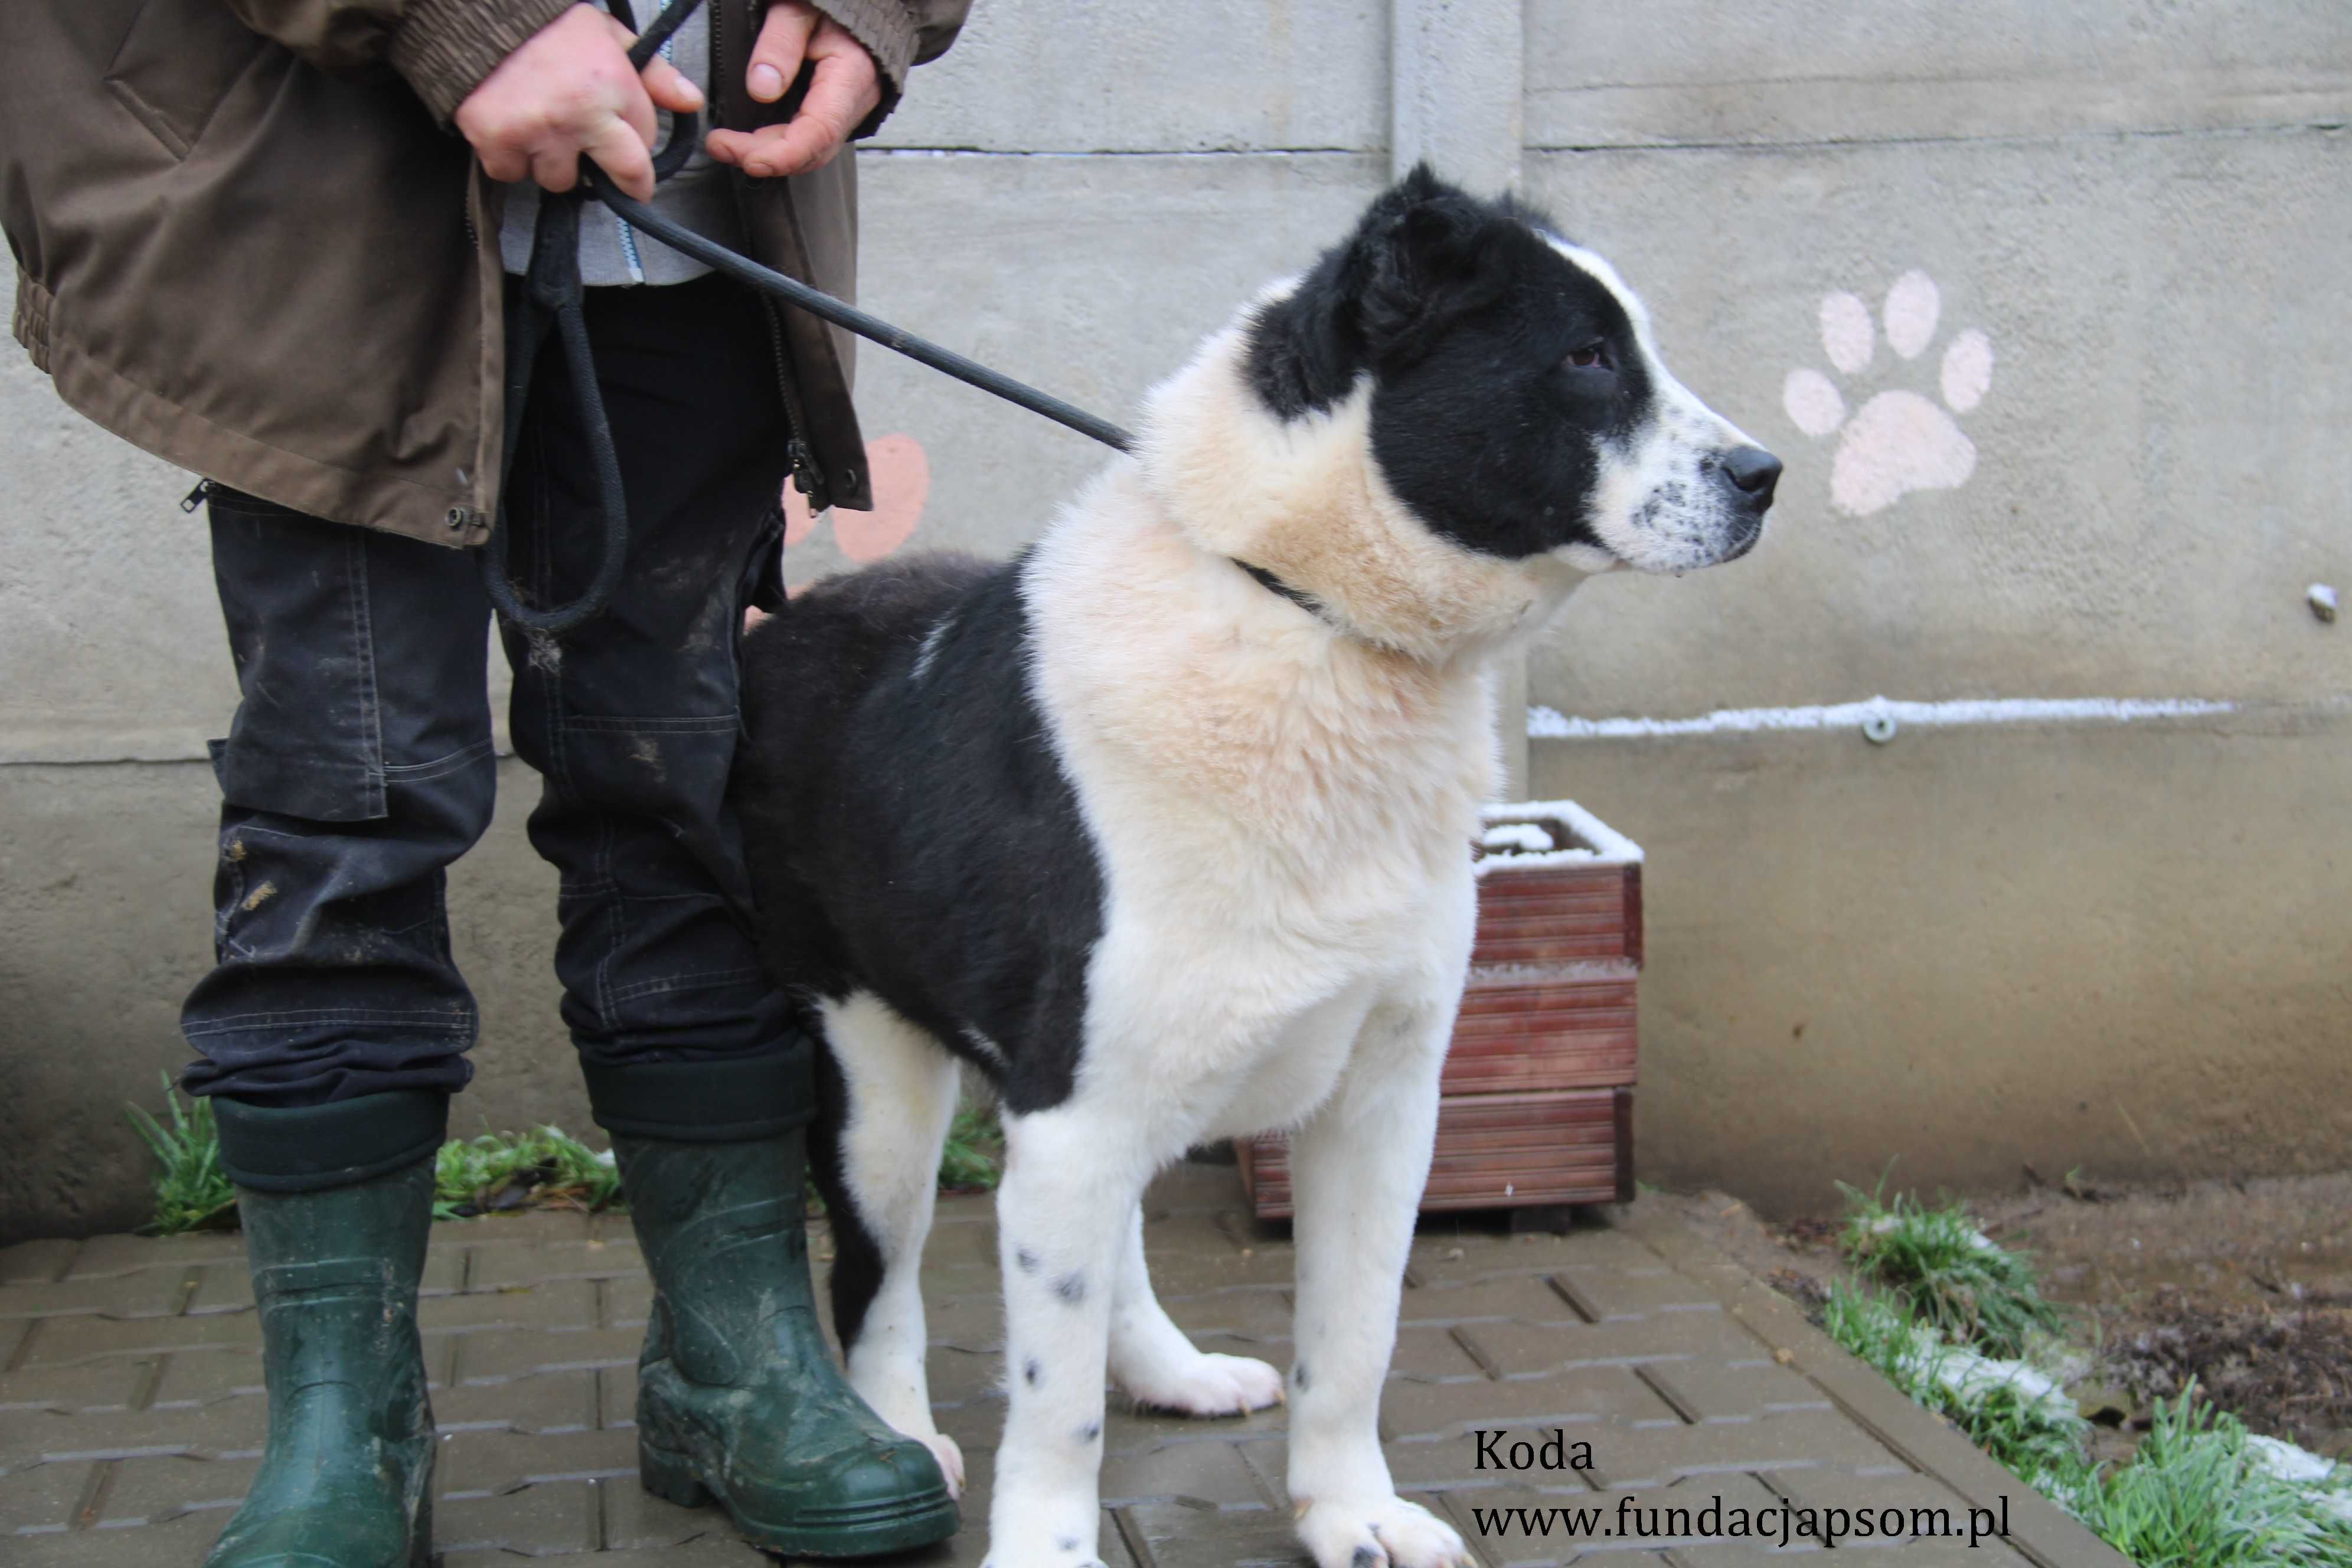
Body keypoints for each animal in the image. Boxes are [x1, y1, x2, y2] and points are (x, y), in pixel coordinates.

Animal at [743, 171, 1768, 1568]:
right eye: (1586, 356)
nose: (1765, 475)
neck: (1305, 614)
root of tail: (783, 626)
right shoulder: (1072, 1108)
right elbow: (1053, 1412)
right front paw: (1045, 1545)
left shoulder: (1378, 1103)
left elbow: (1354, 1340)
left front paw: (1350, 1515)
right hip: (874, 1083)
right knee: (876, 1273)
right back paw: (896, 1436)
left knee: (1099, 1248)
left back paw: (1166, 1369)